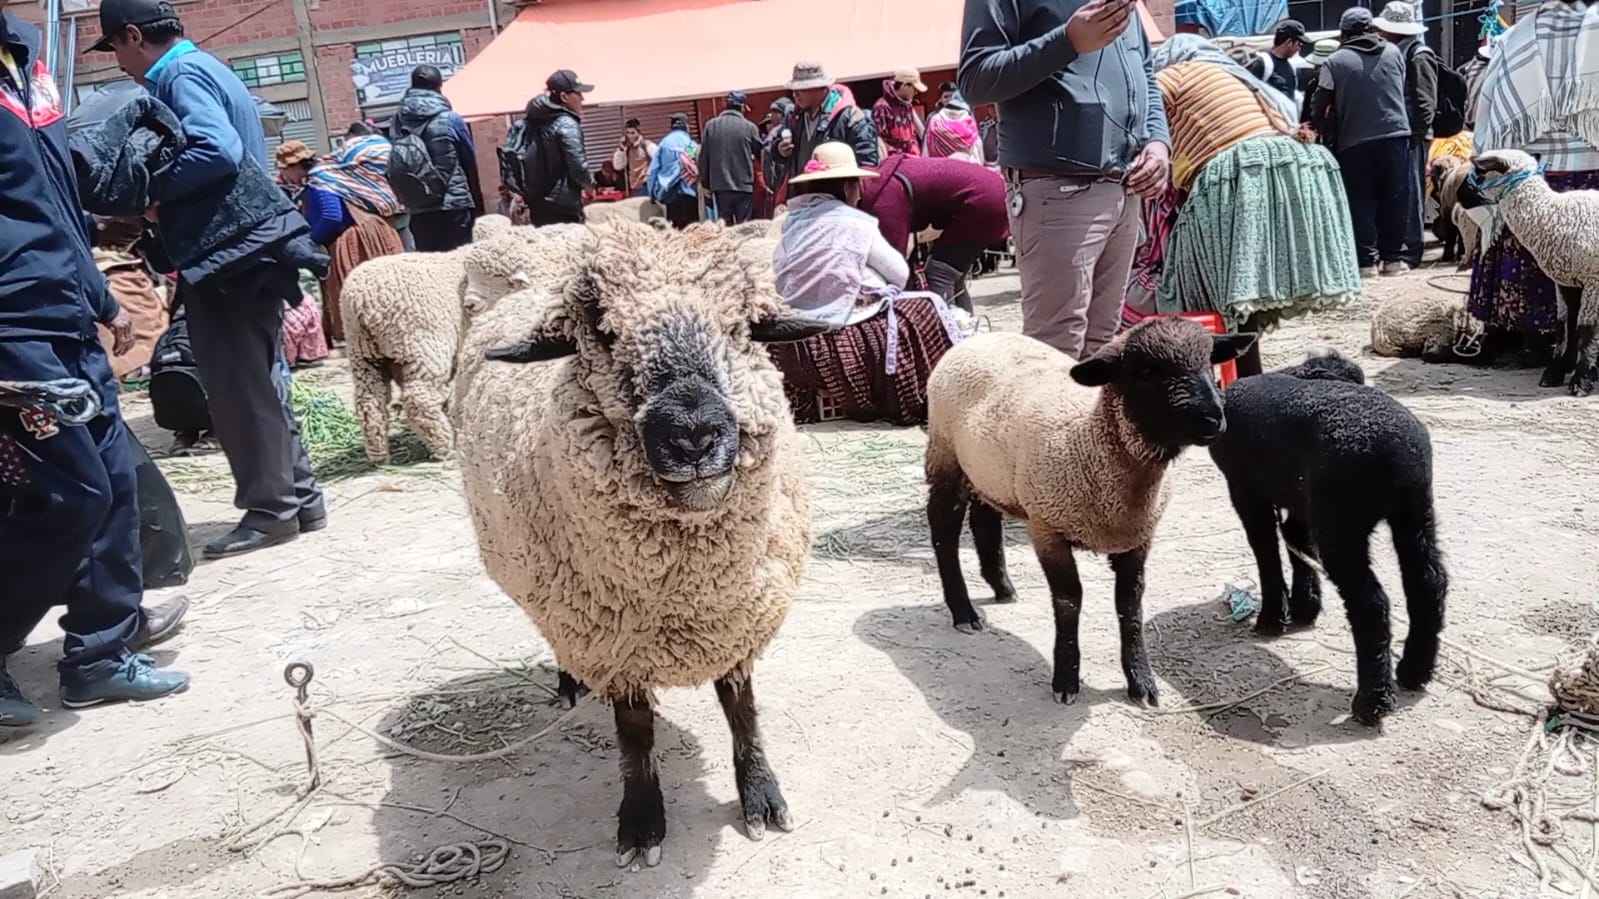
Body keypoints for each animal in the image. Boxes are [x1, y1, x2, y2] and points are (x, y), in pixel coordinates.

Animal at [451, 219, 834, 867]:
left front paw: (760, 795)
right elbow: (634, 732)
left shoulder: (737, 617)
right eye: (602, 334)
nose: (693, 434)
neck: (684, 588)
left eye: (741, 326)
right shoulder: (612, 642)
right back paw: (568, 685)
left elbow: (743, 710)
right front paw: (642, 821)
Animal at [924, 319, 1256, 706]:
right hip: (945, 454)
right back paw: (963, 610)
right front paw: (1066, 679)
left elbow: (1130, 605)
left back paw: (1002, 586)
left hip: (988, 470)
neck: (1088, 442)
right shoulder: (1048, 529)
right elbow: (1069, 602)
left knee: (984, 518)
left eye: (1207, 362)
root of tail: (977, 338)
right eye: (1145, 371)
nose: (1213, 419)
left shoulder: (1139, 537)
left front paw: (1141, 681)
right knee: (944, 532)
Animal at [1206, 351, 1447, 725]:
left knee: (1371, 603)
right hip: (1415, 510)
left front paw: (1273, 618)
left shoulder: (1244, 487)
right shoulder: (1300, 496)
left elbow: (1265, 549)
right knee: (1428, 582)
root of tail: (1397, 455)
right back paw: (1414, 671)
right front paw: (1305, 607)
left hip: (1341, 520)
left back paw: (1372, 701)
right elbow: (1295, 540)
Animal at [1459, 149, 1599, 395]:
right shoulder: (1566, 280)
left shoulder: (1592, 278)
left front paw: (1580, 381)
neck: (1555, 215)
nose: (1459, 195)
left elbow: (1585, 330)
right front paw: (1555, 371)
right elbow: (1565, 327)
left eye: (1481, 171)